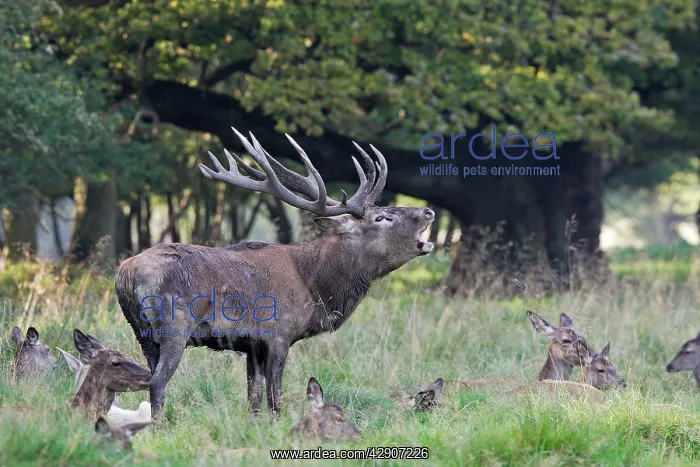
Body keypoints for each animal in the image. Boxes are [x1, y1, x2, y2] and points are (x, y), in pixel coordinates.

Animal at [115, 127, 435, 420]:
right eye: (382, 217)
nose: (429, 212)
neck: (315, 286)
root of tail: (125, 275)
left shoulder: (252, 345)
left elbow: (253, 397)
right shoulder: (279, 334)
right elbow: (275, 397)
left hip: (142, 333)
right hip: (174, 327)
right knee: (157, 382)